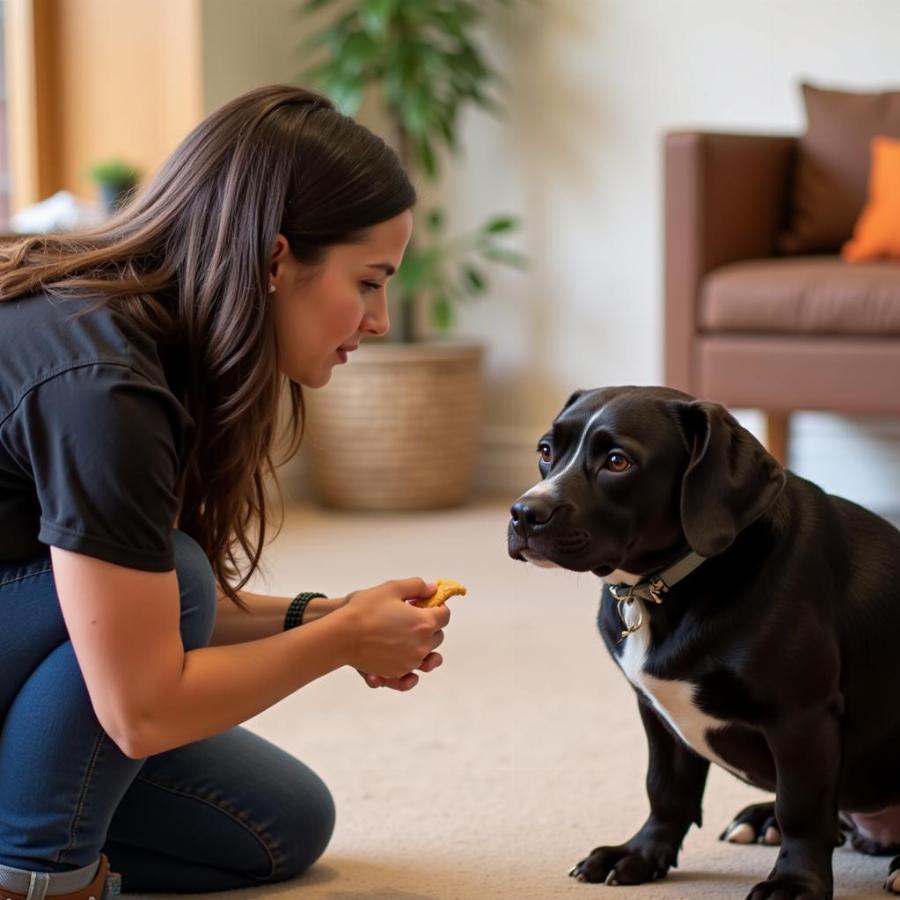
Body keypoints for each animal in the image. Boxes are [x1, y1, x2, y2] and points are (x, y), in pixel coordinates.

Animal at [506, 384, 900, 900]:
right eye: (546, 451)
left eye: (617, 461)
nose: (523, 514)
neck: (661, 590)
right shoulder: (656, 710)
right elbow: (666, 789)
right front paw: (640, 854)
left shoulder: (802, 715)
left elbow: (802, 808)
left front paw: (795, 882)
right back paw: (760, 819)